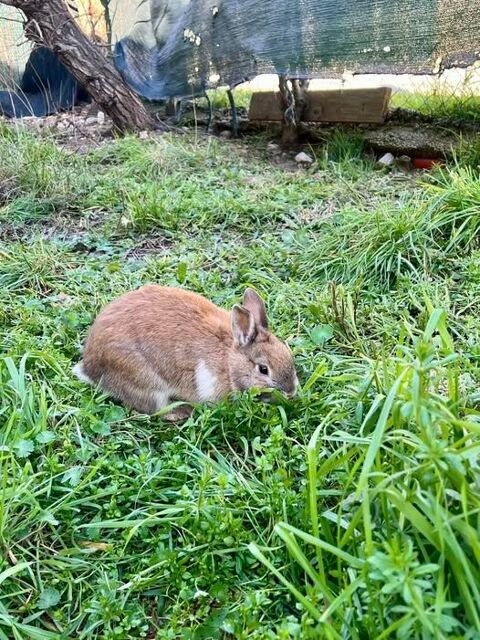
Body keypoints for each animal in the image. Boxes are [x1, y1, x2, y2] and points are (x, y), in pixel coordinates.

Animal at [73, 285, 298, 420]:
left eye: (290, 357)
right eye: (263, 369)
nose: (291, 392)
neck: (229, 361)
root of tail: (90, 366)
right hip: (145, 380)